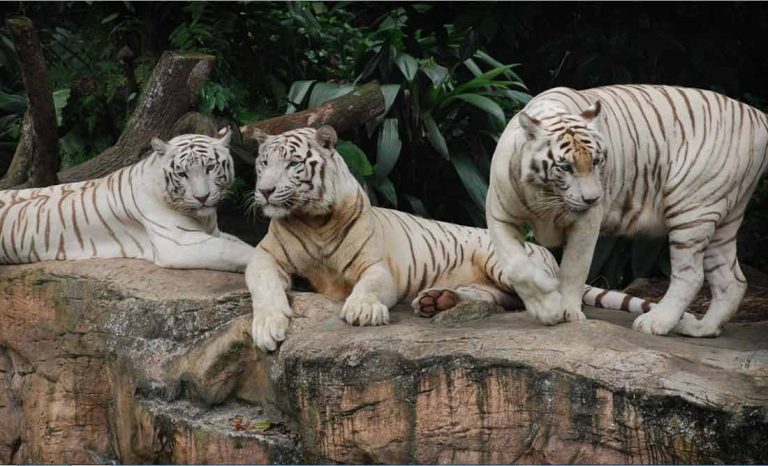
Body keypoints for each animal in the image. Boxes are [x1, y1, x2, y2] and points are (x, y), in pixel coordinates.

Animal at [0, 128, 254, 272]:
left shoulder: (215, 232)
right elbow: (235, 251)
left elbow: (244, 244)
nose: (202, 197)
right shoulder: (180, 243)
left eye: (210, 167)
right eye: (182, 174)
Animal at [242, 125, 653, 352]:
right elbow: (264, 285)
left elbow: (369, 285)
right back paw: (437, 301)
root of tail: (546, 252)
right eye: (263, 163)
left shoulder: (376, 266)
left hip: (499, 259)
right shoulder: (264, 256)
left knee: (523, 292)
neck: (313, 219)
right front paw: (267, 327)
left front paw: (362, 309)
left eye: (293, 164)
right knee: (499, 298)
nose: (264, 191)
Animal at [486, 84, 768, 338]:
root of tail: (757, 115)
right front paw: (546, 308)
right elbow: (516, 266)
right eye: (565, 167)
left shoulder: (586, 222)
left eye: (597, 161)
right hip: (723, 217)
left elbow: (574, 267)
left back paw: (656, 322)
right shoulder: (499, 215)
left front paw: (566, 310)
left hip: (693, 208)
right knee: (732, 280)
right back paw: (701, 329)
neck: (545, 194)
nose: (593, 198)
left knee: (692, 275)